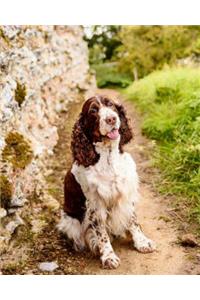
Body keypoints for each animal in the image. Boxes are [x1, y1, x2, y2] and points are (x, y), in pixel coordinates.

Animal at [57, 95, 155, 268]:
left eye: (111, 105)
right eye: (93, 111)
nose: (111, 119)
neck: (108, 157)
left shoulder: (126, 193)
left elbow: (133, 220)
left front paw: (142, 242)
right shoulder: (95, 203)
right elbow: (101, 233)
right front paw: (108, 256)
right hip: (70, 221)